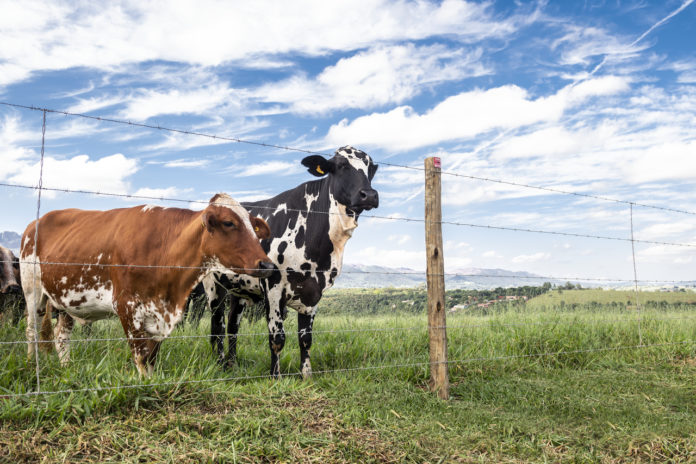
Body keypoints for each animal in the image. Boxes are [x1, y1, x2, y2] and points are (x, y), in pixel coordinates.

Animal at [21, 193, 274, 376]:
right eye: (228, 223)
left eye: (253, 226)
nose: (267, 264)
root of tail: (36, 222)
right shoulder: (126, 307)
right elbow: (141, 356)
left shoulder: (159, 314)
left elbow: (152, 356)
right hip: (32, 291)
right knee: (31, 330)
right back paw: (31, 364)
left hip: (65, 299)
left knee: (61, 335)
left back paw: (67, 368)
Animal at [193, 145, 378, 376]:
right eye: (341, 165)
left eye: (371, 169)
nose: (369, 195)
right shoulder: (273, 286)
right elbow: (277, 337)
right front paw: (276, 377)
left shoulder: (314, 291)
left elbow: (306, 338)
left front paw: (306, 375)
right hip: (213, 284)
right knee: (217, 326)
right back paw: (219, 365)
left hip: (239, 288)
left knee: (233, 325)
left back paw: (232, 365)